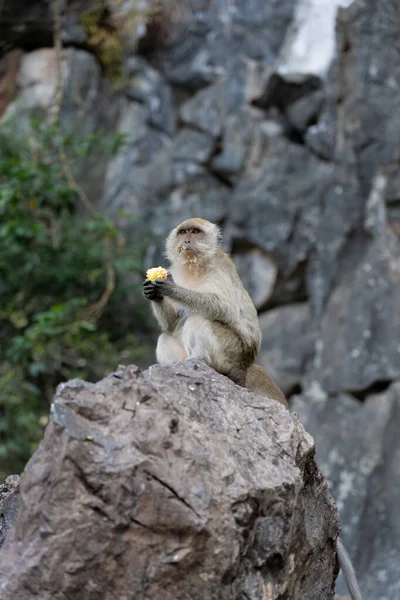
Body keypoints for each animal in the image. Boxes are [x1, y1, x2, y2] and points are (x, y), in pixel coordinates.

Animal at [144, 216, 288, 408]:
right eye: (183, 232)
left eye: (195, 232)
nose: (186, 241)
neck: (195, 267)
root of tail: (244, 368)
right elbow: (172, 326)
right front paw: (153, 293)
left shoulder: (219, 268)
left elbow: (223, 307)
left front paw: (170, 288)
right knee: (166, 336)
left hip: (232, 351)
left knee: (199, 318)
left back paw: (200, 361)